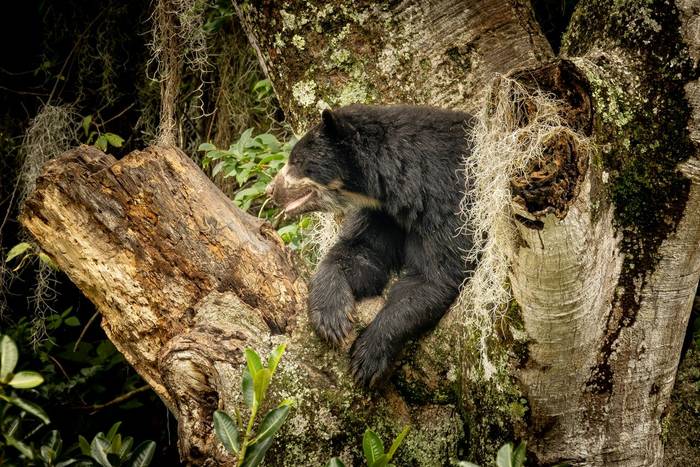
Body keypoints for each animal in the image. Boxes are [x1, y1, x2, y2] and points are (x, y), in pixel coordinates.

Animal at [267, 104, 474, 387]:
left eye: (297, 161)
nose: (270, 189)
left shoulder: (449, 202)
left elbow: (434, 275)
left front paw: (367, 356)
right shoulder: (383, 215)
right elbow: (361, 252)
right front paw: (331, 316)